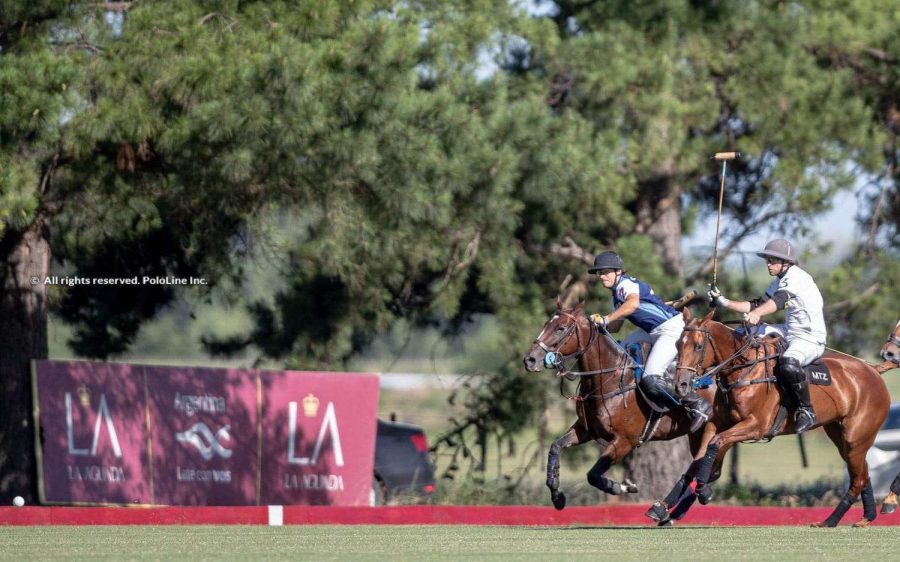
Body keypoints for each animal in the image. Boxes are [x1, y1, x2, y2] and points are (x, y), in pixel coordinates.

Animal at [520, 300, 716, 510]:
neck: (607, 381)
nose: (530, 360)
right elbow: (555, 447)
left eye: (561, 328)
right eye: (545, 324)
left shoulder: (625, 441)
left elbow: (593, 475)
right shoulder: (585, 430)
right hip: (695, 436)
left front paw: (623, 487)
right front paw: (557, 496)